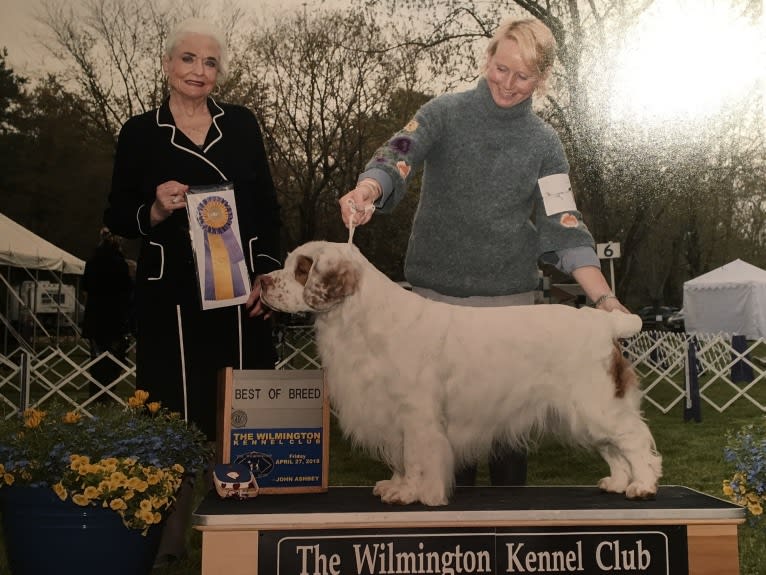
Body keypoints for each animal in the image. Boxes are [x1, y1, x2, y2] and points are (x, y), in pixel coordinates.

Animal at [260, 241, 664, 506]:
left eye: (301, 269)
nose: (262, 282)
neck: (360, 319)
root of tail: (605, 321)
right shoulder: (391, 416)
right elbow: (401, 457)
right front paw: (396, 487)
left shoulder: (417, 414)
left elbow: (416, 458)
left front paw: (413, 494)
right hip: (585, 415)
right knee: (614, 448)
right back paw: (618, 482)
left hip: (595, 405)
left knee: (634, 439)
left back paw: (642, 485)